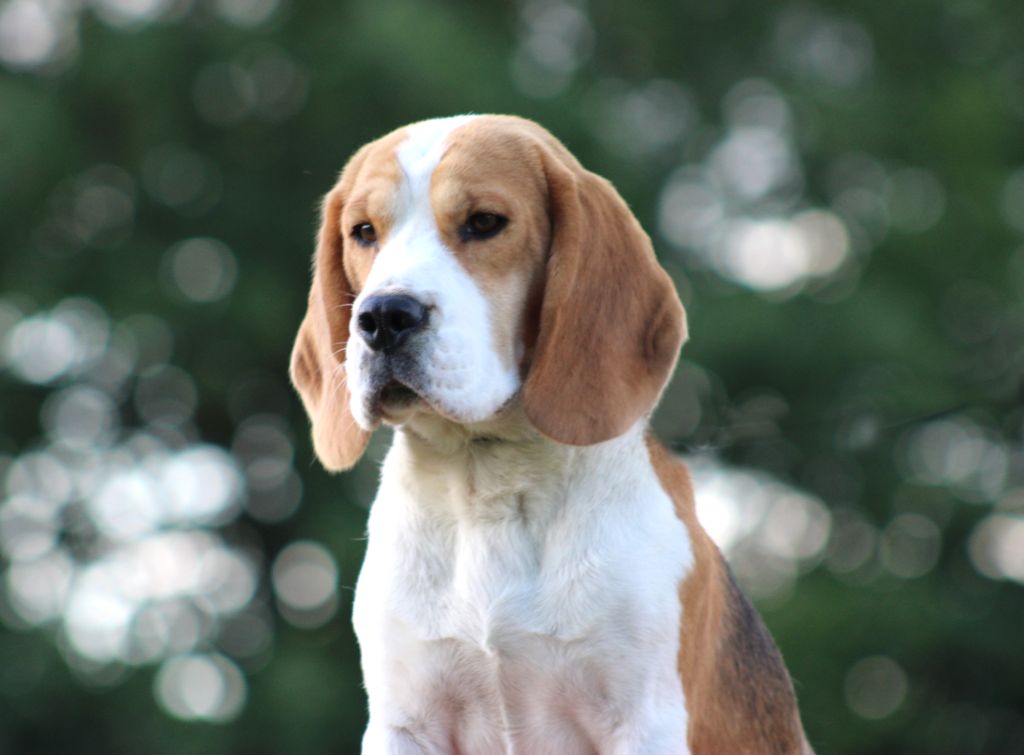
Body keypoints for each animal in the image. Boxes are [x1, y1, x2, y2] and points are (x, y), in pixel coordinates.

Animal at [290, 113, 815, 753]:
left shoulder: (643, 722)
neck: (487, 485)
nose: (383, 317)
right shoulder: (404, 723)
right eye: (364, 231)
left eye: (484, 222)